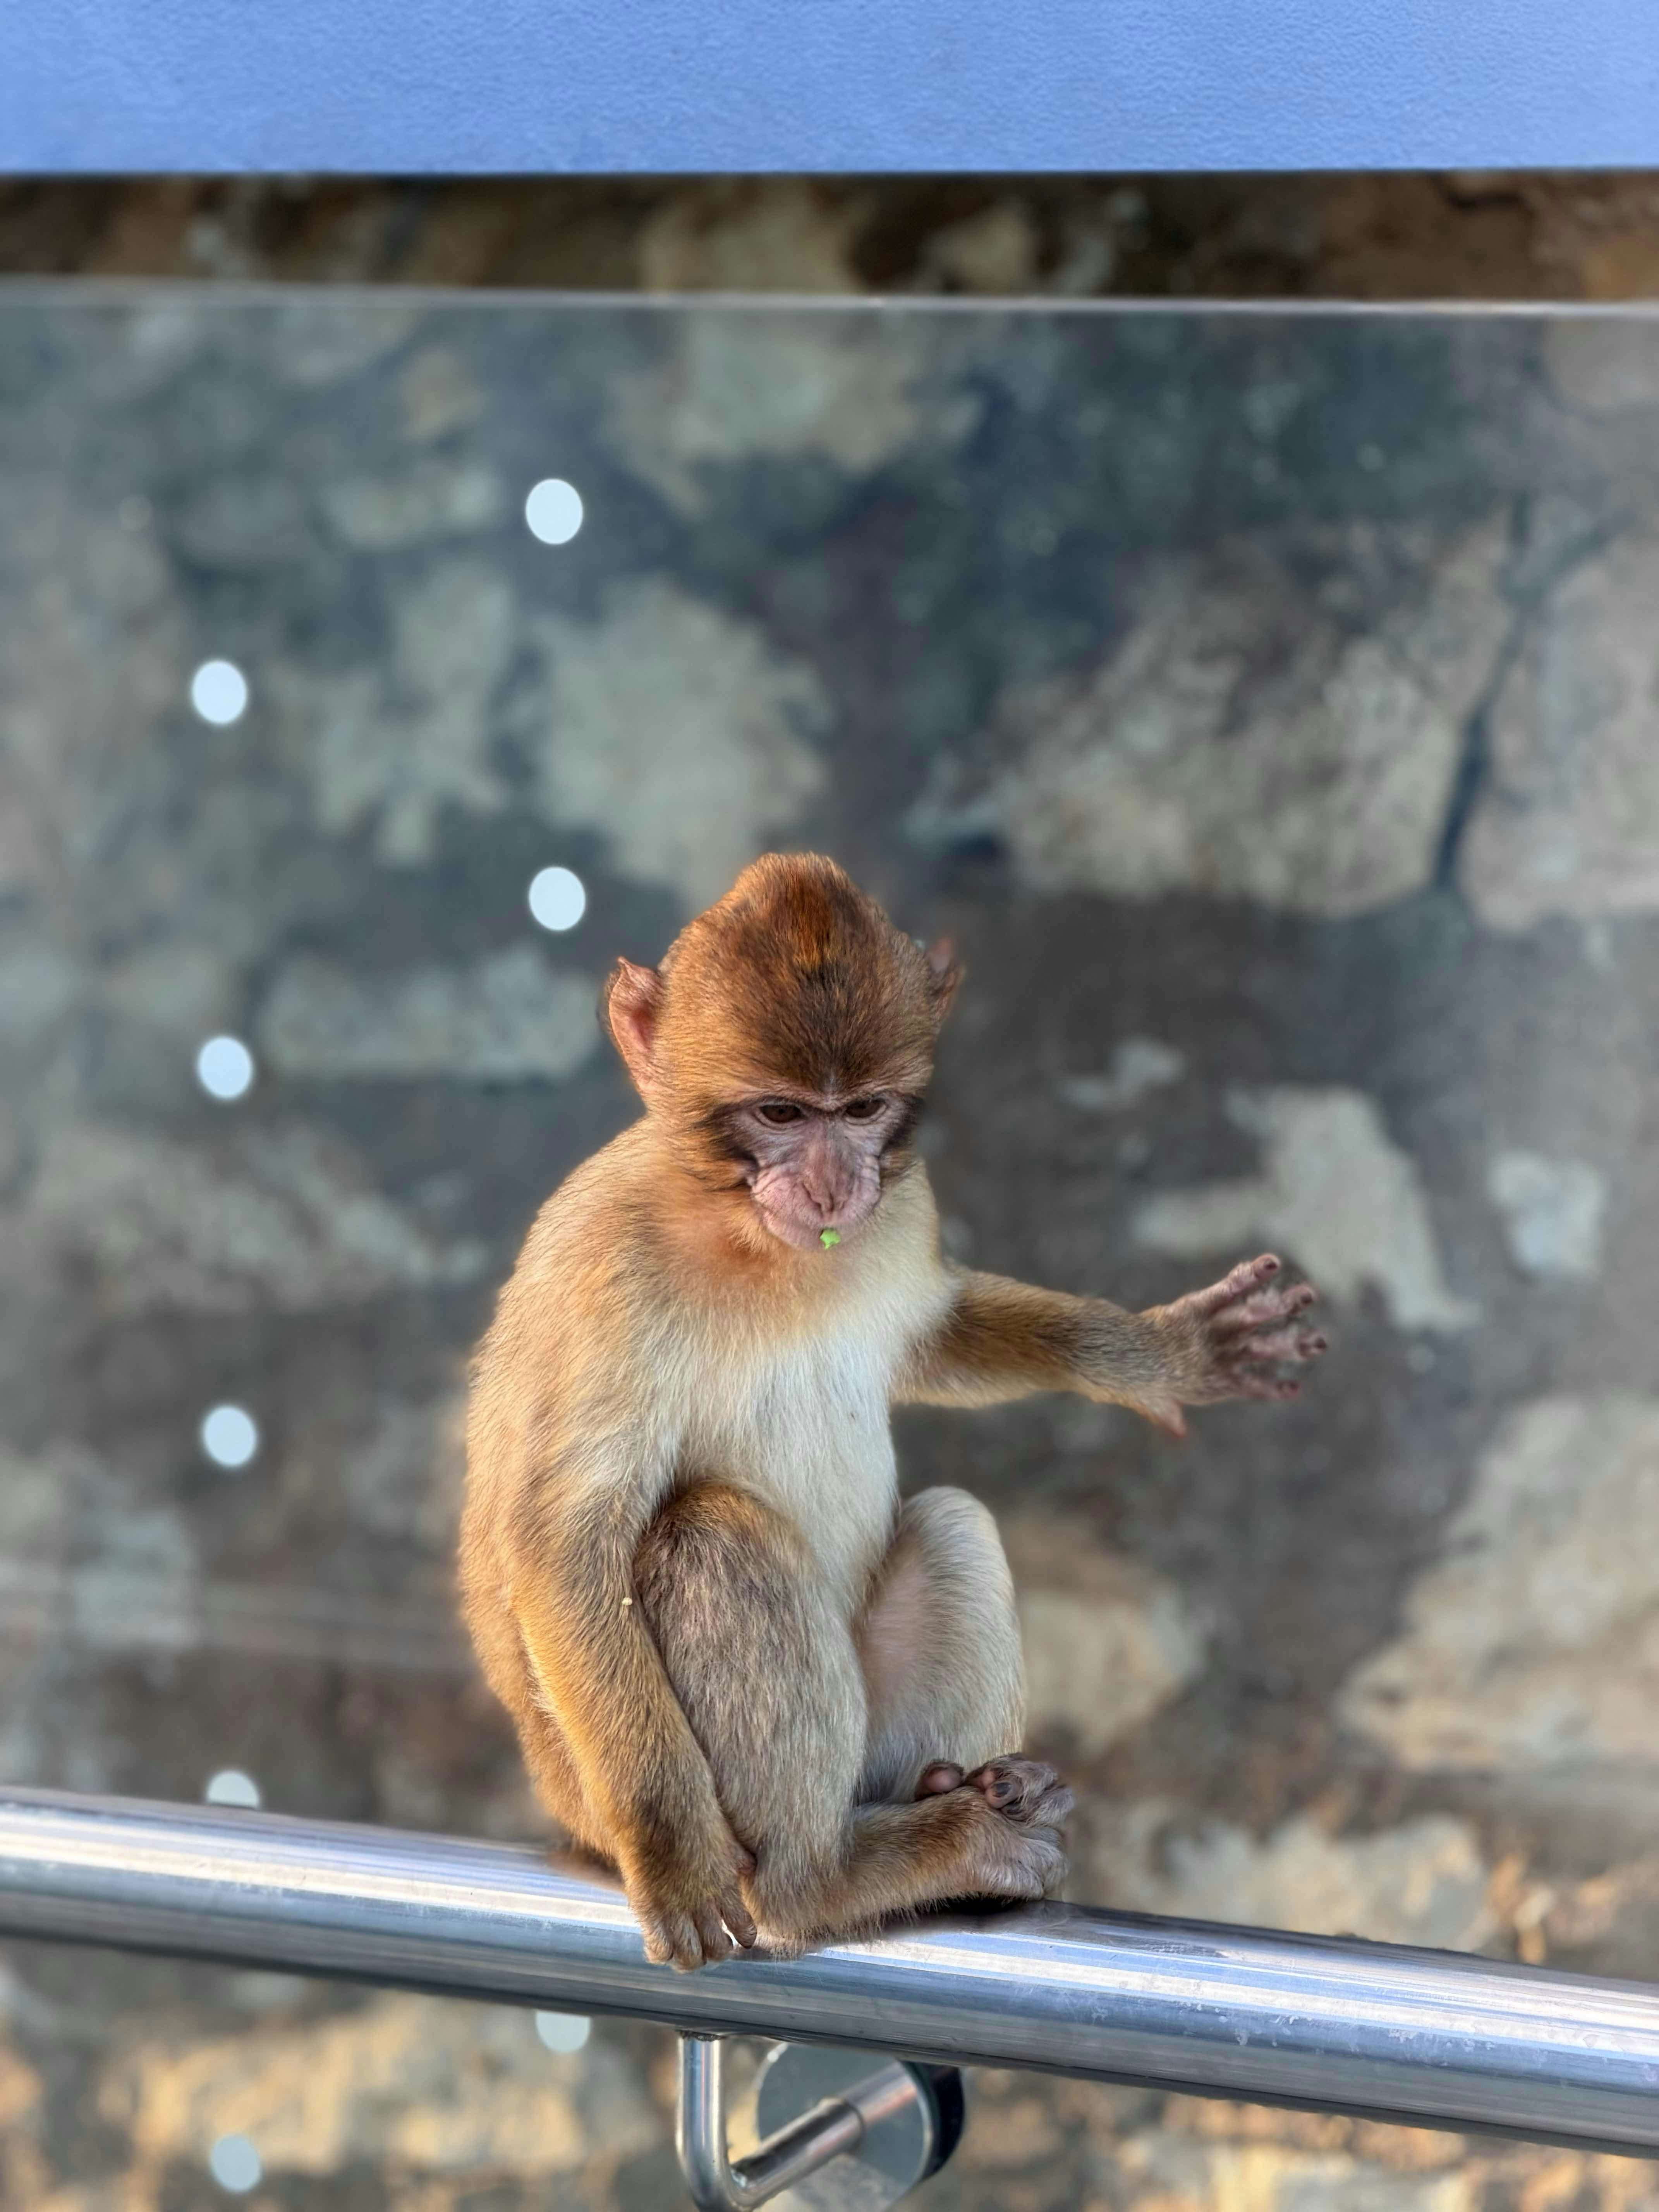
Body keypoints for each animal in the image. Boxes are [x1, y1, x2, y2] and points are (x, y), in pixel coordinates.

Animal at [460, 854, 1324, 1971]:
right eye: (783, 1116)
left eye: (863, 1108)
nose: (835, 1184)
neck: (748, 1236)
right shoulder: (608, 1270)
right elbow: (563, 1538)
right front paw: (675, 1856)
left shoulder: (904, 1204)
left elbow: (935, 1333)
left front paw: (1165, 1356)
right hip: (595, 1786)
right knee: (707, 1536)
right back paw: (827, 1879)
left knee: (951, 1525)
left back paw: (971, 1802)